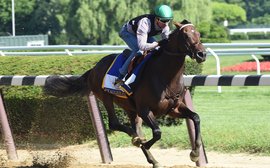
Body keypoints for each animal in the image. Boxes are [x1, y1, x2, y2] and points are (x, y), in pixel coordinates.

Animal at [43, 19, 207, 167]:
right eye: (186, 35)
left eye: (198, 33)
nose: (202, 54)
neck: (165, 76)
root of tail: (93, 69)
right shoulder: (145, 110)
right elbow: (157, 132)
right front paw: (144, 143)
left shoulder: (173, 108)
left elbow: (196, 117)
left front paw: (195, 153)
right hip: (106, 97)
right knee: (115, 124)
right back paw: (136, 139)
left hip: (130, 108)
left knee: (136, 128)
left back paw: (151, 157)